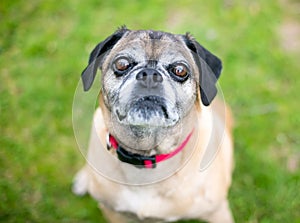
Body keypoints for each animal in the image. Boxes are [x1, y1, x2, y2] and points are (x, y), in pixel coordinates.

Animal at [72, 26, 234, 223]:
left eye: (180, 70)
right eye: (122, 64)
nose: (149, 74)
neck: (146, 157)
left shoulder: (217, 213)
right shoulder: (114, 213)